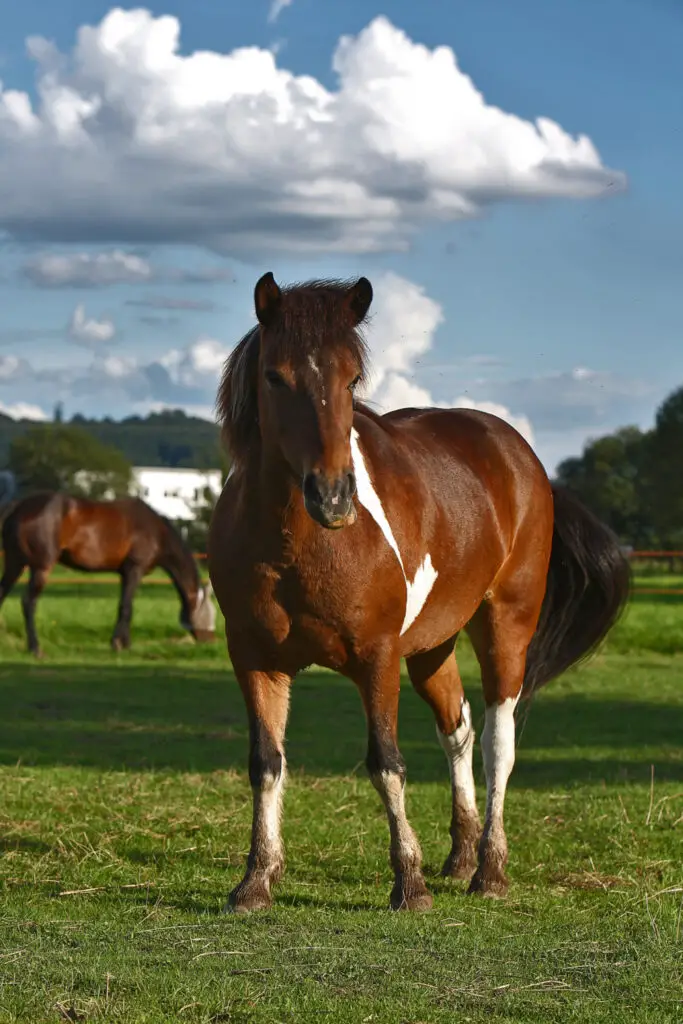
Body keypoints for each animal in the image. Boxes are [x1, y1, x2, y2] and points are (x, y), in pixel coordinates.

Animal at [0, 489, 215, 655]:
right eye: (210, 613)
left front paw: (125, 643)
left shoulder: (124, 574)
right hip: (40, 568)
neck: (156, 531)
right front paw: (118, 644)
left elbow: (126, 606)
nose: (210, 641)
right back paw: (35, 648)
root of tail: (19, 506)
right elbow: (126, 607)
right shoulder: (134, 570)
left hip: (14, 565)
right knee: (29, 602)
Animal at [208, 272, 630, 913]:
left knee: (499, 742)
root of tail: (519, 456)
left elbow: (386, 763)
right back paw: (461, 857)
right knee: (459, 730)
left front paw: (409, 881)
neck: (294, 544)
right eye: (275, 377)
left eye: (352, 378)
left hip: (506, 626)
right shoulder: (254, 659)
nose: (333, 496)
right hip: (433, 646)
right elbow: (266, 763)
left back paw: (490, 869)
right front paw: (257, 878)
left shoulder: (377, 658)